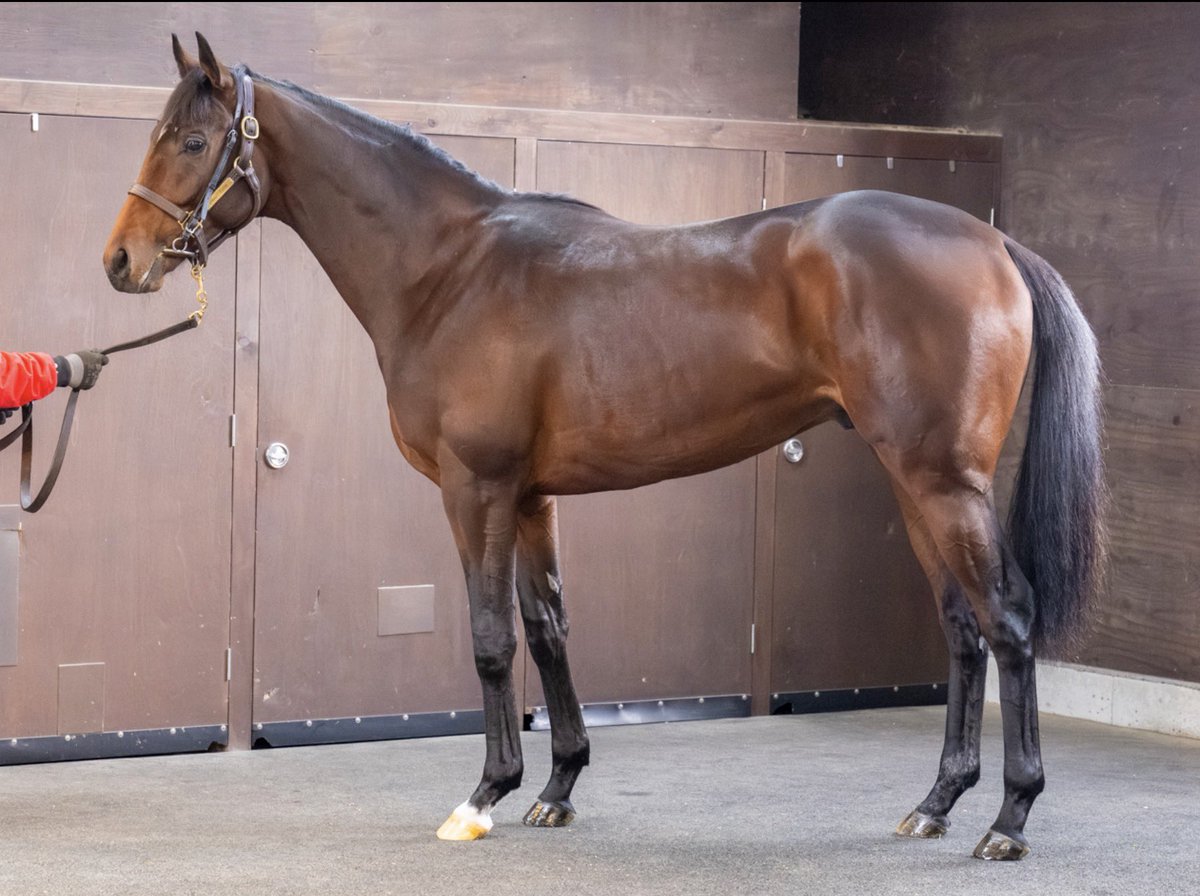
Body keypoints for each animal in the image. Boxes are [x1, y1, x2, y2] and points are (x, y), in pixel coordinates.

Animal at [101, 33, 1107, 860]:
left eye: (192, 142)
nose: (120, 262)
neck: (451, 269)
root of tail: (992, 242)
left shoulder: (476, 488)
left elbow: (492, 639)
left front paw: (485, 795)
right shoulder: (532, 496)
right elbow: (548, 628)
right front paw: (555, 787)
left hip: (944, 483)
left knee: (1008, 620)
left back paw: (1009, 819)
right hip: (912, 482)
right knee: (961, 628)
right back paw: (935, 804)